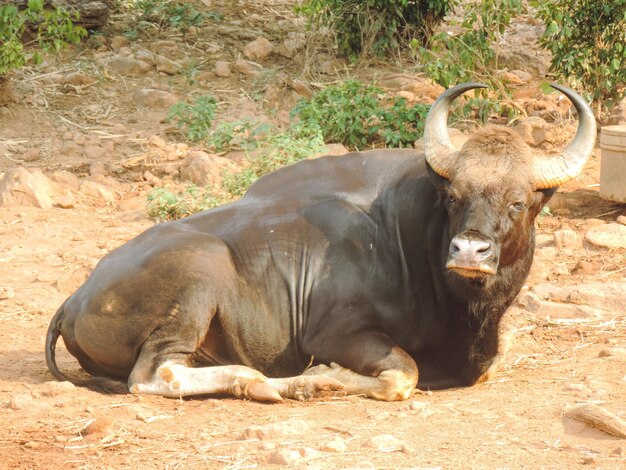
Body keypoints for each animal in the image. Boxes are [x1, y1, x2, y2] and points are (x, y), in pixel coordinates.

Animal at [45, 82, 596, 402]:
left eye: (518, 202)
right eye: (454, 197)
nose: (469, 251)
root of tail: (76, 297)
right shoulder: (337, 334)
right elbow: (404, 374)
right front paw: (331, 377)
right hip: (199, 274)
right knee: (153, 375)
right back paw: (277, 384)